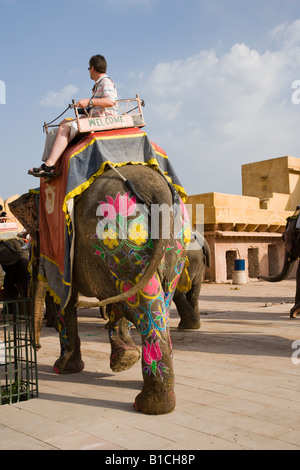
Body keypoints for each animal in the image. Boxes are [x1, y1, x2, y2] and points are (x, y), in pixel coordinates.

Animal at [11, 163, 192, 414]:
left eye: (35, 246)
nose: (36, 347)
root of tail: (156, 187)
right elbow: (114, 302)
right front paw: (124, 358)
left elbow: (66, 300)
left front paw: (63, 368)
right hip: (173, 245)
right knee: (159, 299)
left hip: (119, 236)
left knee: (145, 303)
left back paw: (148, 405)